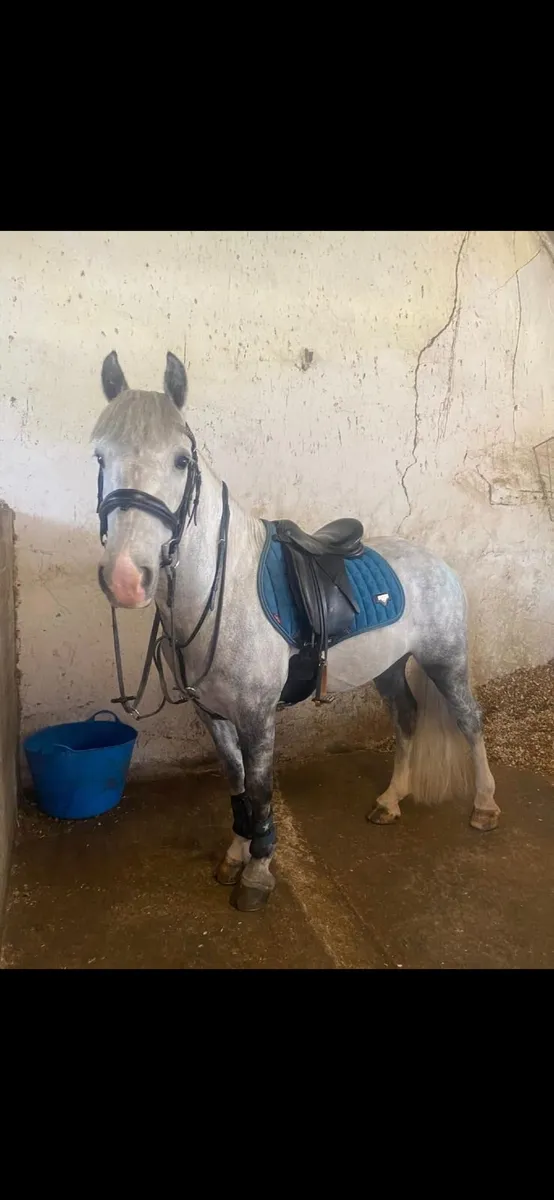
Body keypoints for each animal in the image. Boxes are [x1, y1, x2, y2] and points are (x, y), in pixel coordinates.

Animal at [92, 350, 500, 913]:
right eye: (99, 457)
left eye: (180, 461)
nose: (126, 579)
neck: (226, 591)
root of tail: (435, 562)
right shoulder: (213, 715)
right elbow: (237, 786)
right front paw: (236, 855)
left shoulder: (257, 716)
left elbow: (261, 790)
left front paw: (259, 873)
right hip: (389, 668)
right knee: (407, 717)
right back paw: (390, 801)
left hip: (446, 660)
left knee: (468, 721)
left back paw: (484, 806)